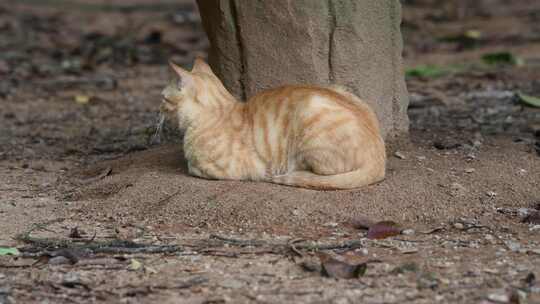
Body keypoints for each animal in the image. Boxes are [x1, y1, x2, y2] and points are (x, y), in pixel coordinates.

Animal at [158, 58, 386, 189]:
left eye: (163, 98)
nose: (158, 109)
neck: (220, 109)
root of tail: (380, 160)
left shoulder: (232, 169)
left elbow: (193, 166)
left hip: (309, 117)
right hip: (340, 89)